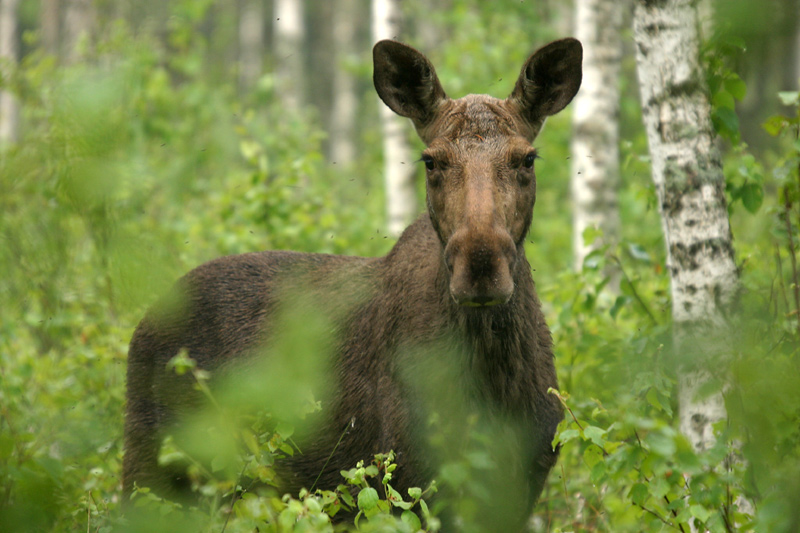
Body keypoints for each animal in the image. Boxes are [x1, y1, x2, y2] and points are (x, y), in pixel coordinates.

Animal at [123, 38, 580, 528]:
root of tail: (145, 322)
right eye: (432, 161)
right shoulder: (404, 479)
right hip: (147, 468)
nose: (480, 265)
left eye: (526, 158)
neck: (494, 380)